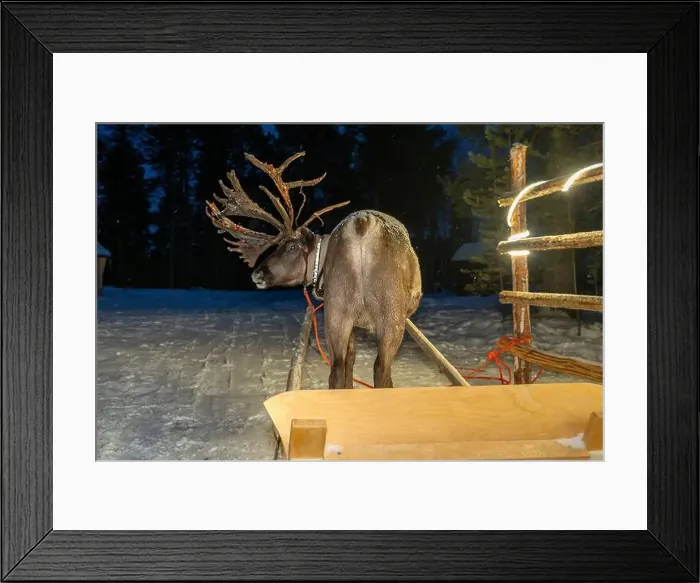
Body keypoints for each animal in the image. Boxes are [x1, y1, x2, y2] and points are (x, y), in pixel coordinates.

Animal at [205, 151, 422, 389]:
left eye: (290, 247)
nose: (257, 274)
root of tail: (361, 227)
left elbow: (349, 358)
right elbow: (353, 357)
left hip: (338, 309)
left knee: (337, 368)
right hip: (389, 314)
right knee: (380, 369)